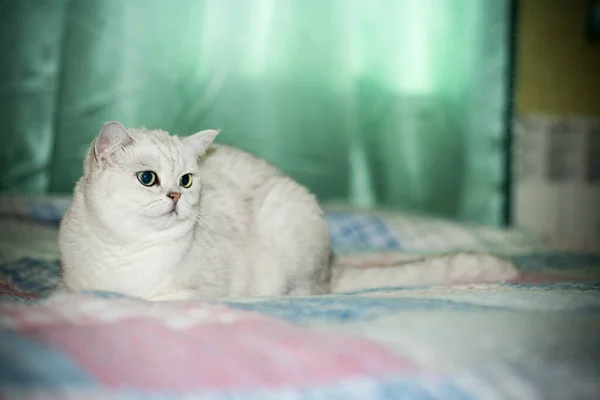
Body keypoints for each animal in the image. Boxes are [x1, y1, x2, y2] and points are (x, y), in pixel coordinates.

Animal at [59, 122, 520, 300]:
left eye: (187, 180)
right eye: (148, 178)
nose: (176, 196)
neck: (128, 252)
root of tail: (331, 265)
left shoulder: (196, 290)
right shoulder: (74, 284)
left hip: (287, 213)